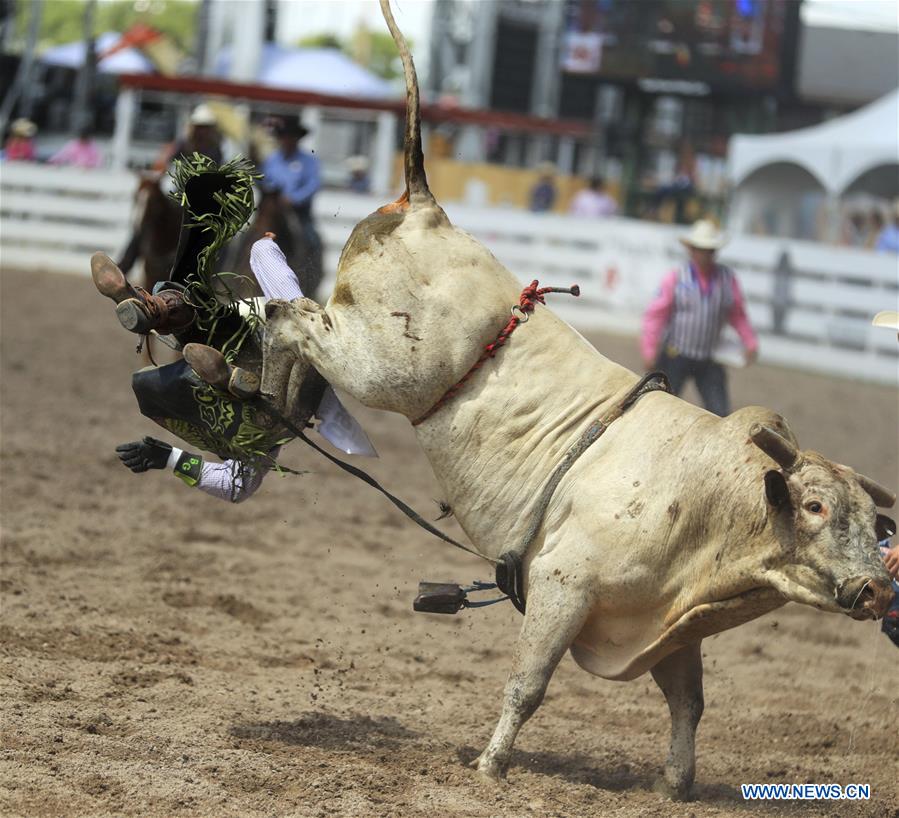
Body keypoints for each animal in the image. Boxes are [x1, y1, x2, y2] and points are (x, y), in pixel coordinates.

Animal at [251, 0, 892, 800]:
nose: (879, 589)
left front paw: (677, 785)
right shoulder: (563, 584)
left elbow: (689, 703)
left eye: (878, 523)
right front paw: (490, 765)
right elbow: (529, 685)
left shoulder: (670, 624)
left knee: (297, 323)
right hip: (383, 365)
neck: (713, 506)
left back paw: (282, 404)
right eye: (813, 507)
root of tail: (427, 210)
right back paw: (269, 393)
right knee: (290, 317)